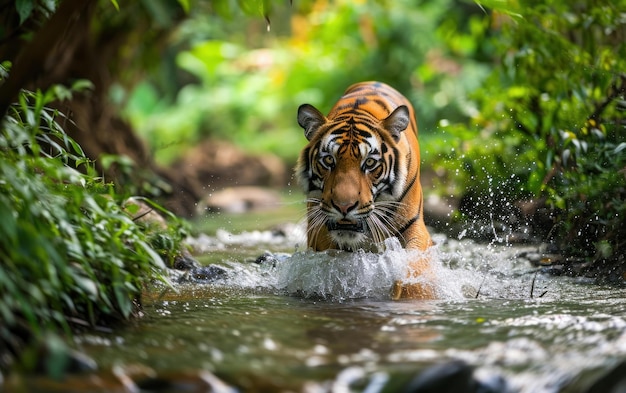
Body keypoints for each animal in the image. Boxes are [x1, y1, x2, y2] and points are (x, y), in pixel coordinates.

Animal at [294, 81, 432, 298]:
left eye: (369, 163)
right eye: (328, 160)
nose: (344, 206)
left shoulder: (415, 227)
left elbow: (414, 270)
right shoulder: (320, 230)